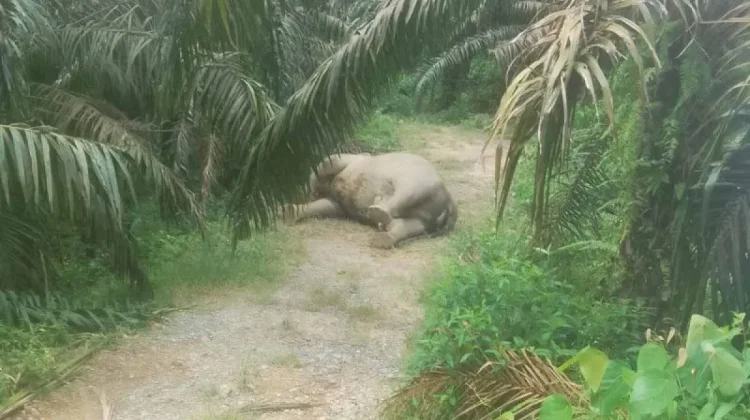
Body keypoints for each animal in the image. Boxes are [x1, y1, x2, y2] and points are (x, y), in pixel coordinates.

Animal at [283, 151, 458, 249]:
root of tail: (450, 202)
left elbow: (327, 163)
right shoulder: (338, 202)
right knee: (410, 225)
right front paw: (287, 213)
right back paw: (382, 235)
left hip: (420, 180)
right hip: (429, 217)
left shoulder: (348, 161)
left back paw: (378, 211)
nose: (314, 191)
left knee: (407, 191)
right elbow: (328, 205)